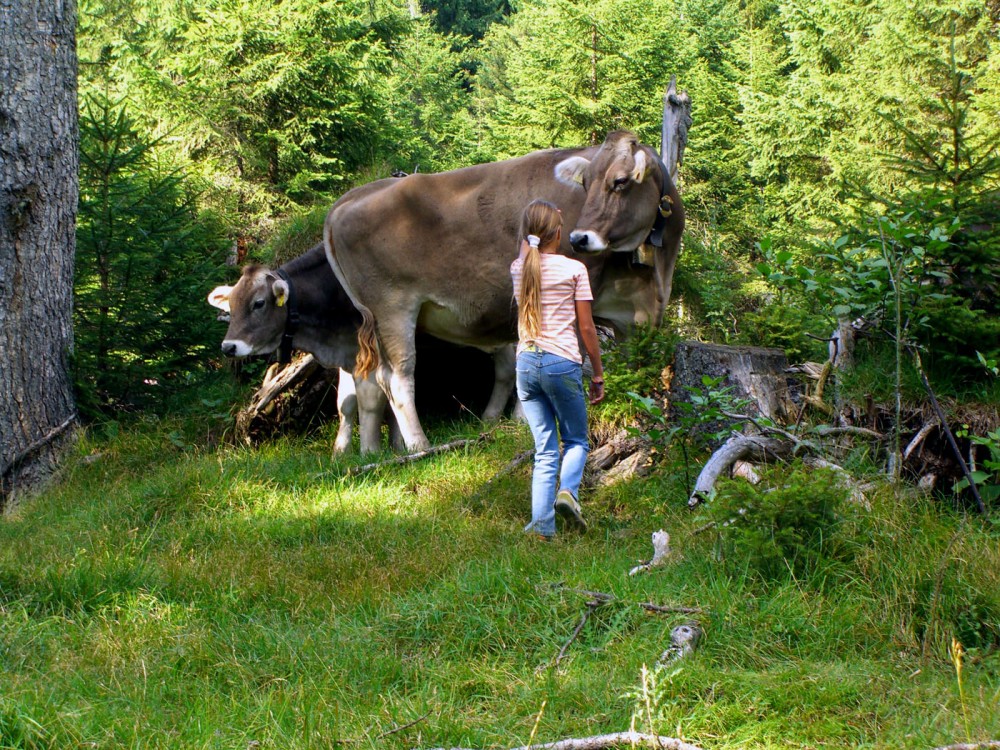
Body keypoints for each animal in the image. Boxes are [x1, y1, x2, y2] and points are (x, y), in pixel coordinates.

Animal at [324, 129, 684, 452]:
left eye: (620, 181)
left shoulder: (632, 317)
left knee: (366, 381)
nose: (579, 238)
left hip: (369, 320)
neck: (655, 278)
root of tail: (348, 198)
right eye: (585, 183)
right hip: (391, 307)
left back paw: (373, 451)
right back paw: (417, 445)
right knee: (397, 377)